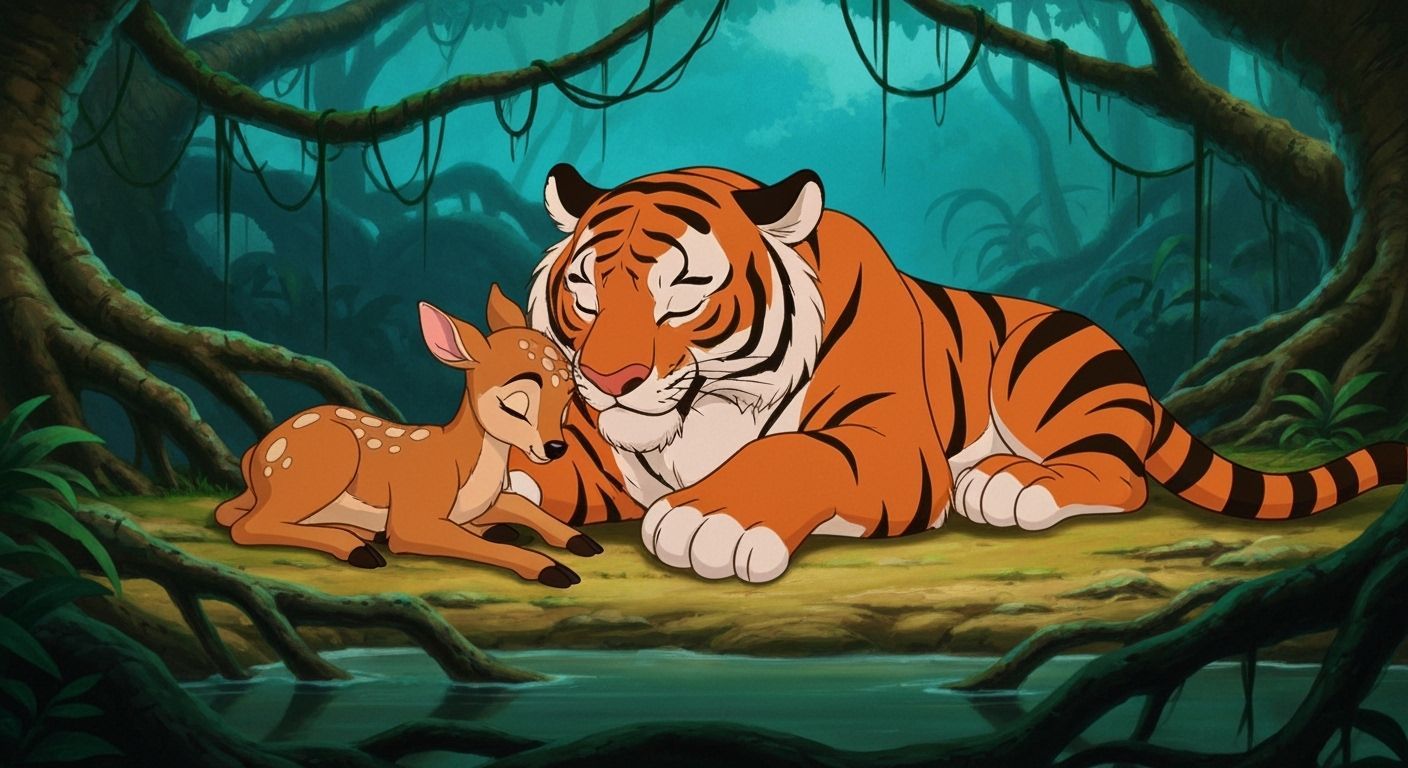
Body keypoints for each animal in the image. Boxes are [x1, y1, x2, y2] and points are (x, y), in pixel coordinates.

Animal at [214, 285, 601, 588]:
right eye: (514, 405)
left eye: (569, 395)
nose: (555, 448)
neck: (462, 465)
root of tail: (255, 454)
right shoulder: (414, 516)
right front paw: (553, 569)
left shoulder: (488, 500)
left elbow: (523, 504)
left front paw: (582, 541)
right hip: (327, 460)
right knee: (245, 526)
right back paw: (358, 548)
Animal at [500, 164, 1408, 584]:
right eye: (585, 289)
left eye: (684, 289)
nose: (610, 377)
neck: (699, 418)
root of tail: (1142, 382)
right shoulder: (616, 459)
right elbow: (551, 471)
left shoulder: (888, 443)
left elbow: (796, 454)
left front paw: (711, 519)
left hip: (1042, 367)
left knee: (1120, 477)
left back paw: (1009, 484)